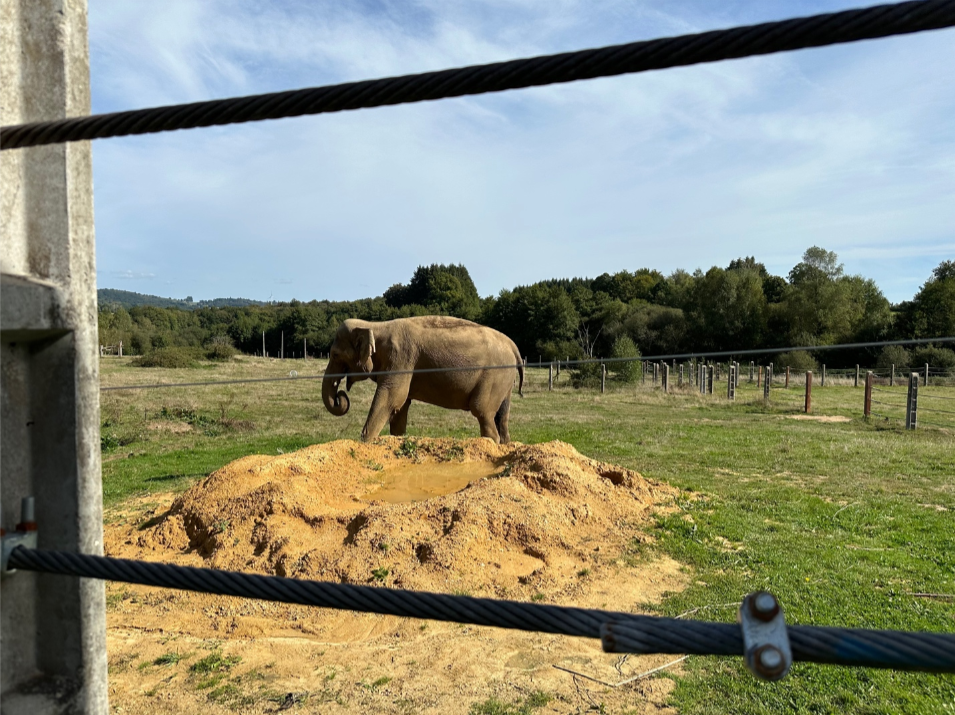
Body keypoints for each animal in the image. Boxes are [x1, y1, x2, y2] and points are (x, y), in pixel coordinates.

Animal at [322, 316, 524, 444]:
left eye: (335, 355)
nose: (341, 396)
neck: (375, 325)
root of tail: (513, 346)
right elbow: (401, 407)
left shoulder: (401, 358)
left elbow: (391, 399)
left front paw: (365, 443)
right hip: (504, 382)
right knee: (501, 418)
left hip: (493, 377)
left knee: (482, 412)